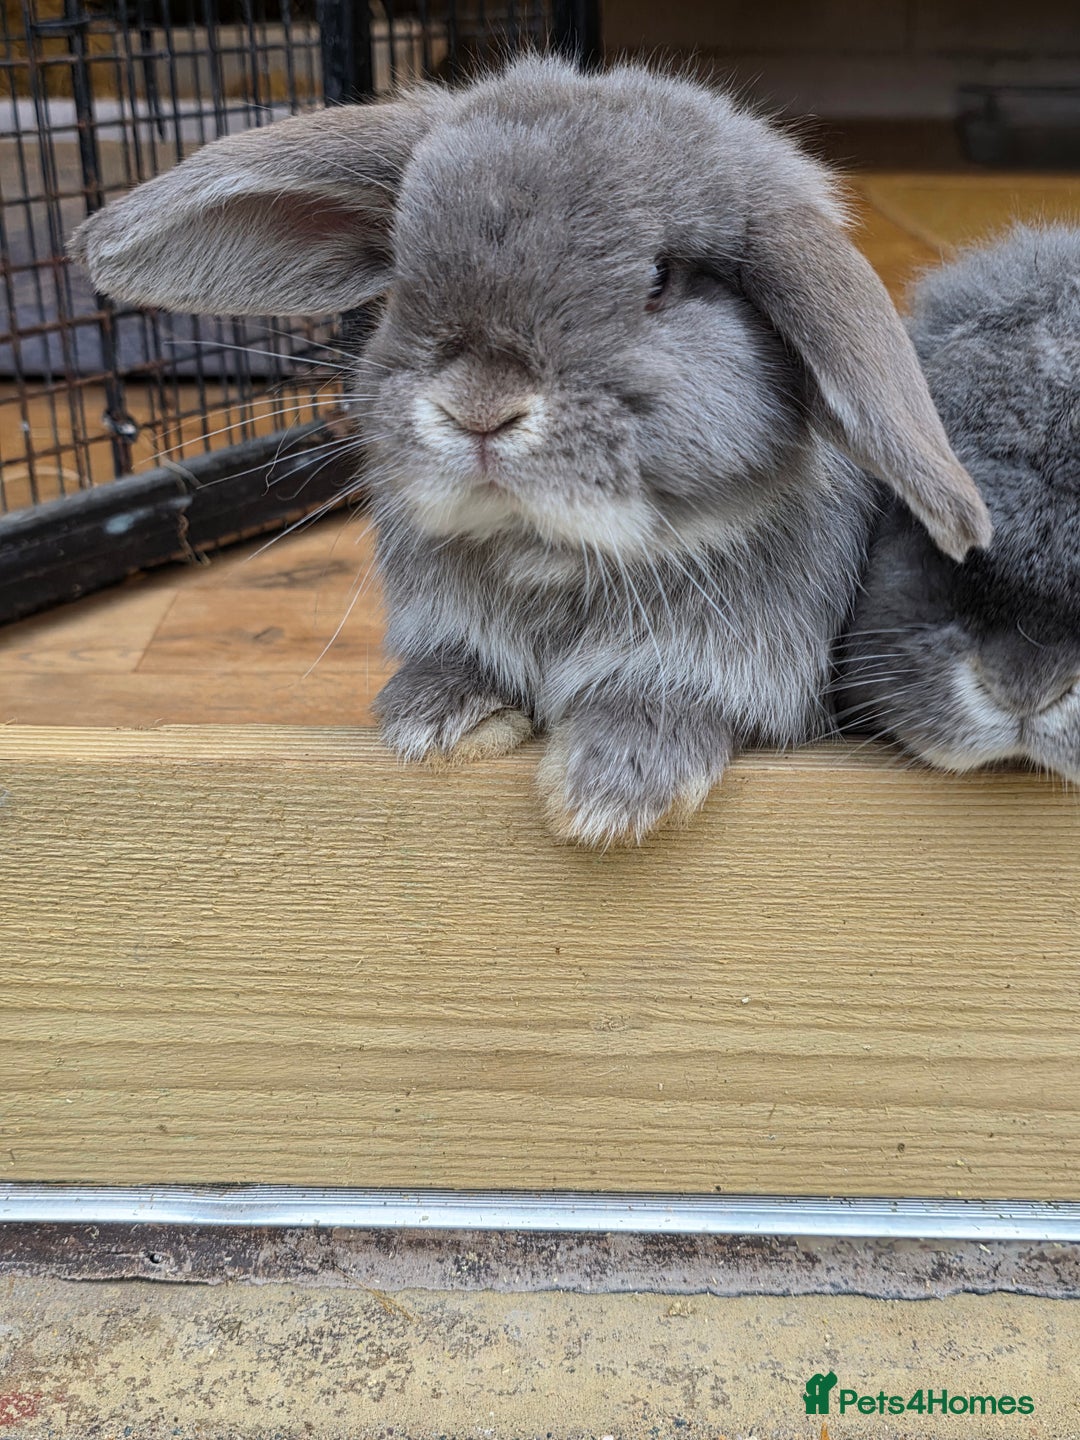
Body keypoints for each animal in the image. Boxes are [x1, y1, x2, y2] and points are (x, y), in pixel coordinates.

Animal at [70, 56, 990, 845]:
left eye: (661, 280)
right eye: (401, 270)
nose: (479, 408)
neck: (551, 557)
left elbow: (670, 703)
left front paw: (607, 793)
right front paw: (436, 721)